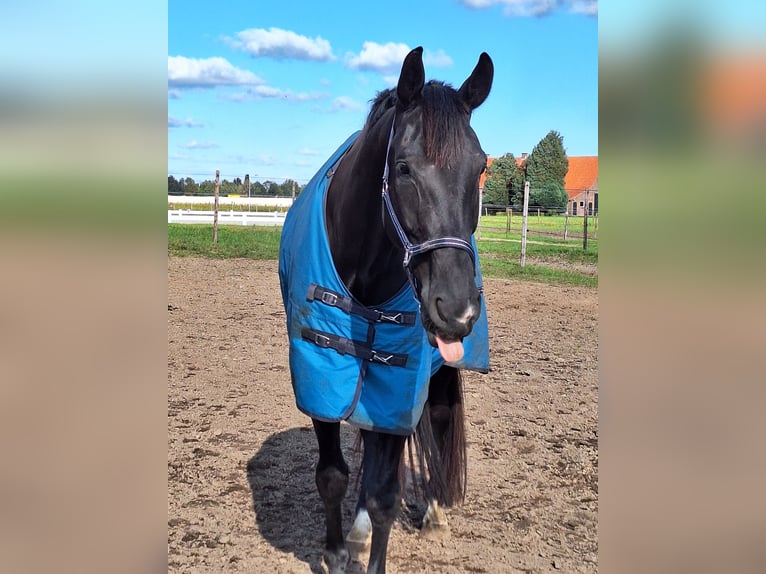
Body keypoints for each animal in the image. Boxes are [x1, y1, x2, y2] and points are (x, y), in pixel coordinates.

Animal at [280, 48, 496, 574]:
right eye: (403, 168)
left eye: (480, 168)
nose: (457, 309)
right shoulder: (322, 370)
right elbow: (333, 474)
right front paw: (337, 551)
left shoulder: (402, 376)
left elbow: (386, 493)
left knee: (435, 423)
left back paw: (433, 512)